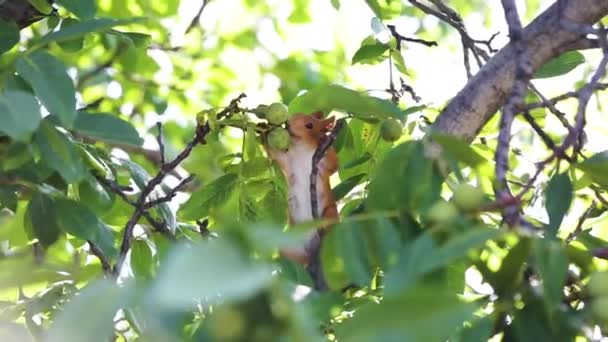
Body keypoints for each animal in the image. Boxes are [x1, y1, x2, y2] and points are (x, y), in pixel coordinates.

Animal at [266, 112, 342, 268]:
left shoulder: (324, 166)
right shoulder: (287, 161)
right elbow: (274, 155)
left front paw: (323, 138)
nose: (287, 124)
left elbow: (334, 164)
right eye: (294, 115)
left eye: (309, 125)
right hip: (289, 245)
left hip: (330, 214)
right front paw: (265, 129)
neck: (302, 149)